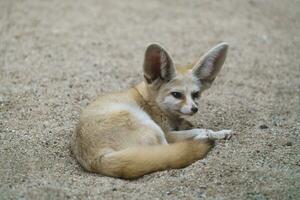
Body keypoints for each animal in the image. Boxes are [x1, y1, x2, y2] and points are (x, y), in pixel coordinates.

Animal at [71, 41, 231, 178]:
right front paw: (213, 133)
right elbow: (199, 130)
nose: (194, 109)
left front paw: (220, 132)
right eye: (177, 95)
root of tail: (97, 159)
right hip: (150, 127)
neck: (149, 101)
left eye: (196, 94)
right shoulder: (167, 133)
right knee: (169, 149)